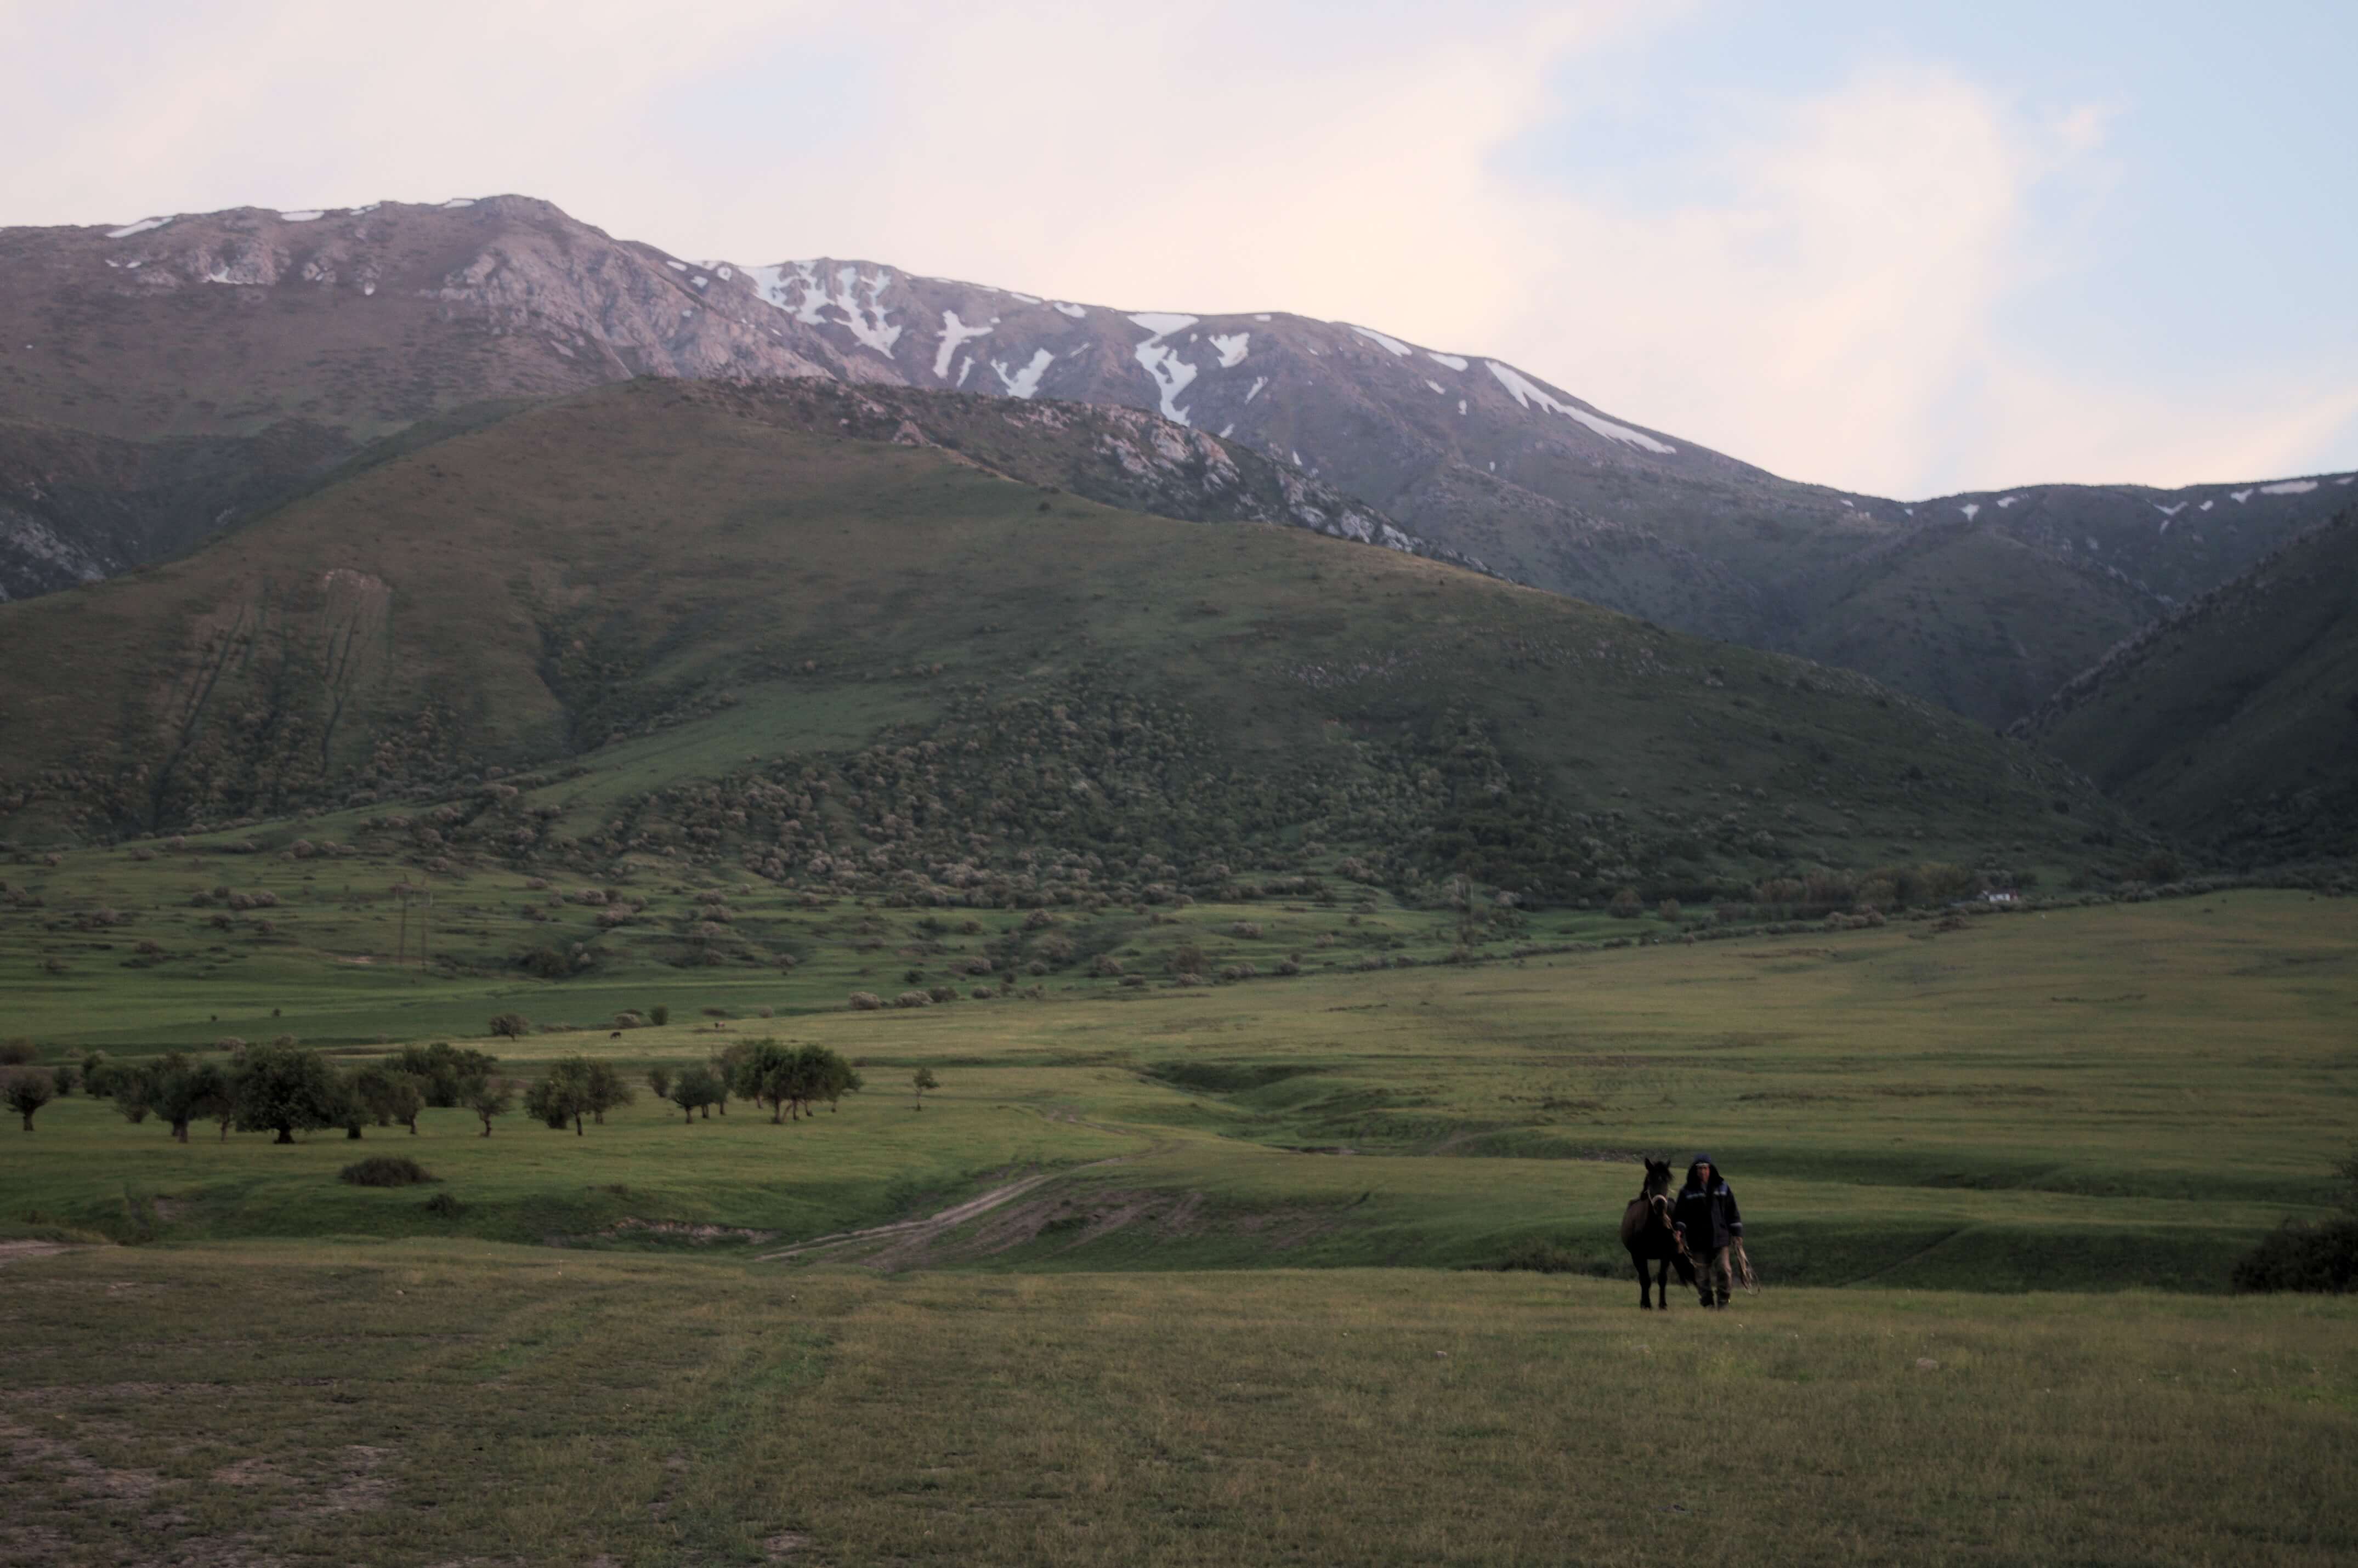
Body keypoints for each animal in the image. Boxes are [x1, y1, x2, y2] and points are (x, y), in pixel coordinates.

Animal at [1622, 1150, 1698, 1311]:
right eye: (1650, 1181)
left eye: (1667, 1182)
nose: (1660, 1206)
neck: (1653, 1227)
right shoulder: (1639, 1255)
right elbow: (1645, 1279)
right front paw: (1646, 1304)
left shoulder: (1666, 1255)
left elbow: (1662, 1278)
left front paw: (1663, 1305)